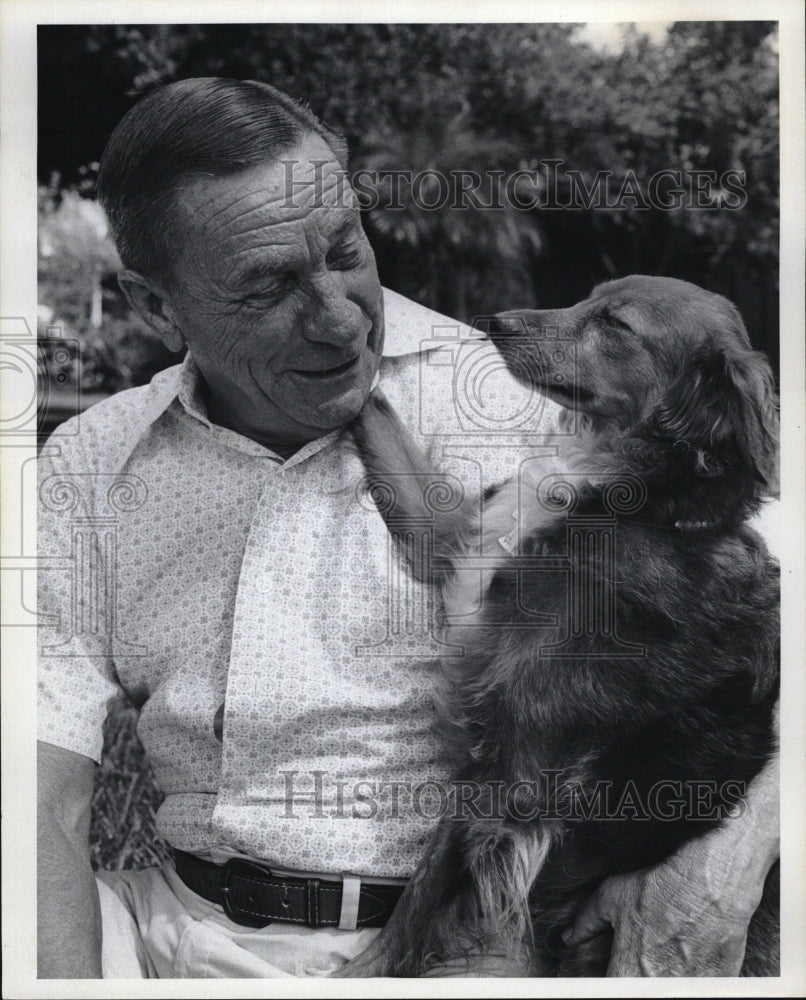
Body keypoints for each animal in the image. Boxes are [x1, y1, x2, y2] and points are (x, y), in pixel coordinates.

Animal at [342, 276, 784, 976]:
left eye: (616, 324)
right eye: (590, 297)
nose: (493, 321)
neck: (622, 502)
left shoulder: (513, 775)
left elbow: (414, 906)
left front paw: (358, 971)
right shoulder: (455, 540)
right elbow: (382, 418)